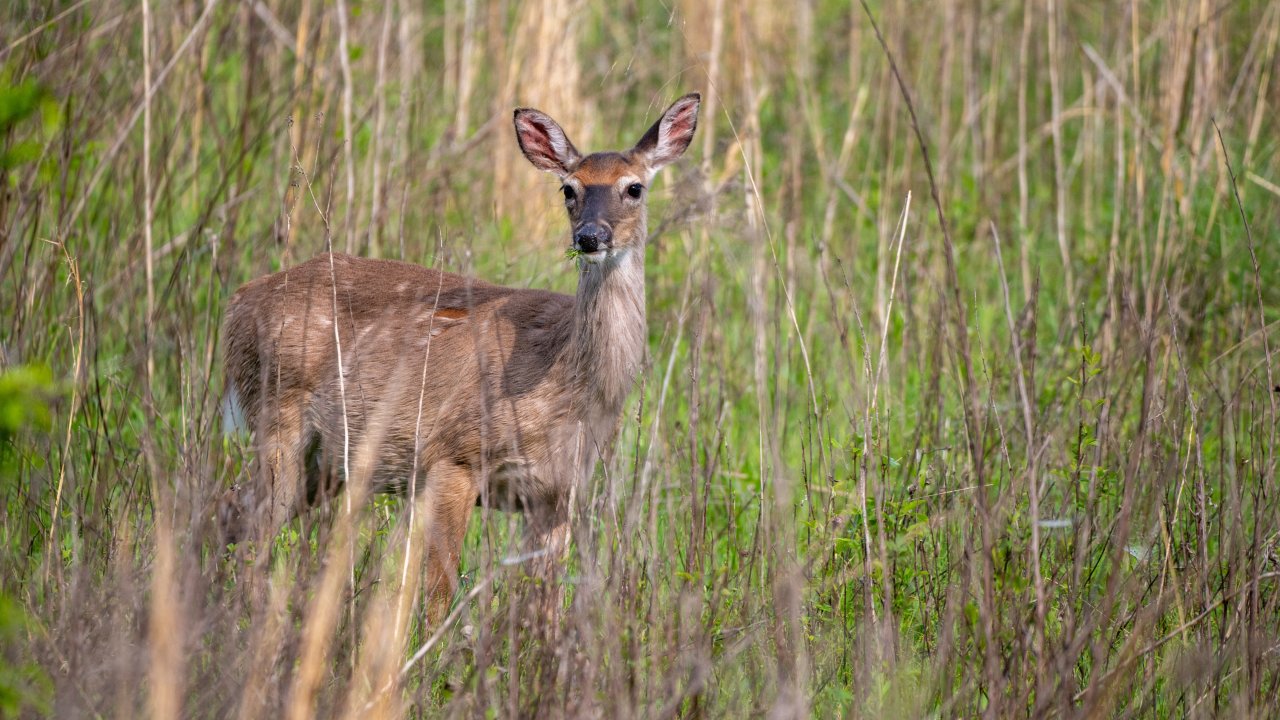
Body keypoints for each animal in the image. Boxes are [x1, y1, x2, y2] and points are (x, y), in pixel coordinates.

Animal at [218, 93, 701, 620]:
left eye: (634, 187)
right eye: (568, 190)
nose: (590, 237)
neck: (567, 387)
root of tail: (237, 301)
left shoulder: (558, 493)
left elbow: (545, 609)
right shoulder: (453, 457)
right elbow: (437, 592)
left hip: (325, 462)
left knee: (230, 516)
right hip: (277, 419)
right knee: (252, 533)